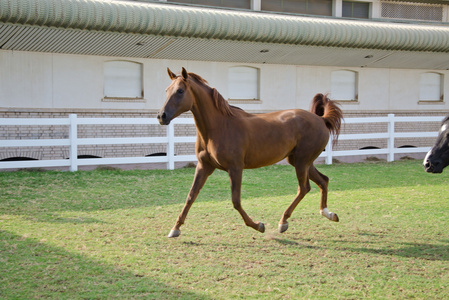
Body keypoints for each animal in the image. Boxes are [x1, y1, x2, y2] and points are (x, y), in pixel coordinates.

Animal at [156, 67, 342, 237]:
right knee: (323, 181)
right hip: (299, 161)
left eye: (180, 91)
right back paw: (329, 214)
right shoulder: (204, 166)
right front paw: (175, 229)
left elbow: (236, 201)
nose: (161, 116)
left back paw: (283, 222)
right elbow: (191, 195)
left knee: (304, 188)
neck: (219, 126)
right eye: (166, 90)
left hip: (302, 161)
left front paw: (258, 225)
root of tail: (321, 119)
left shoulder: (235, 168)